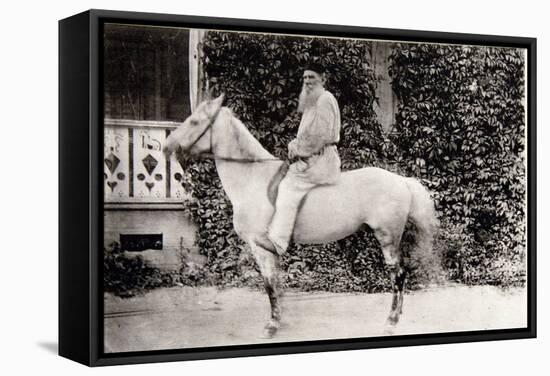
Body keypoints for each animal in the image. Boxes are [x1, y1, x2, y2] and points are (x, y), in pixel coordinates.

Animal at [164, 94, 440, 338]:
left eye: (195, 122)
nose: (166, 147)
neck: (253, 178)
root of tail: (402, 181)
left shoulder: (259, 247)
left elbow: (269, 284)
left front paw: (271, 325)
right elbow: (276, 284)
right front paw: (280, 319)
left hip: (387, 237)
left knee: (398, 275)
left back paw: (391, 322)